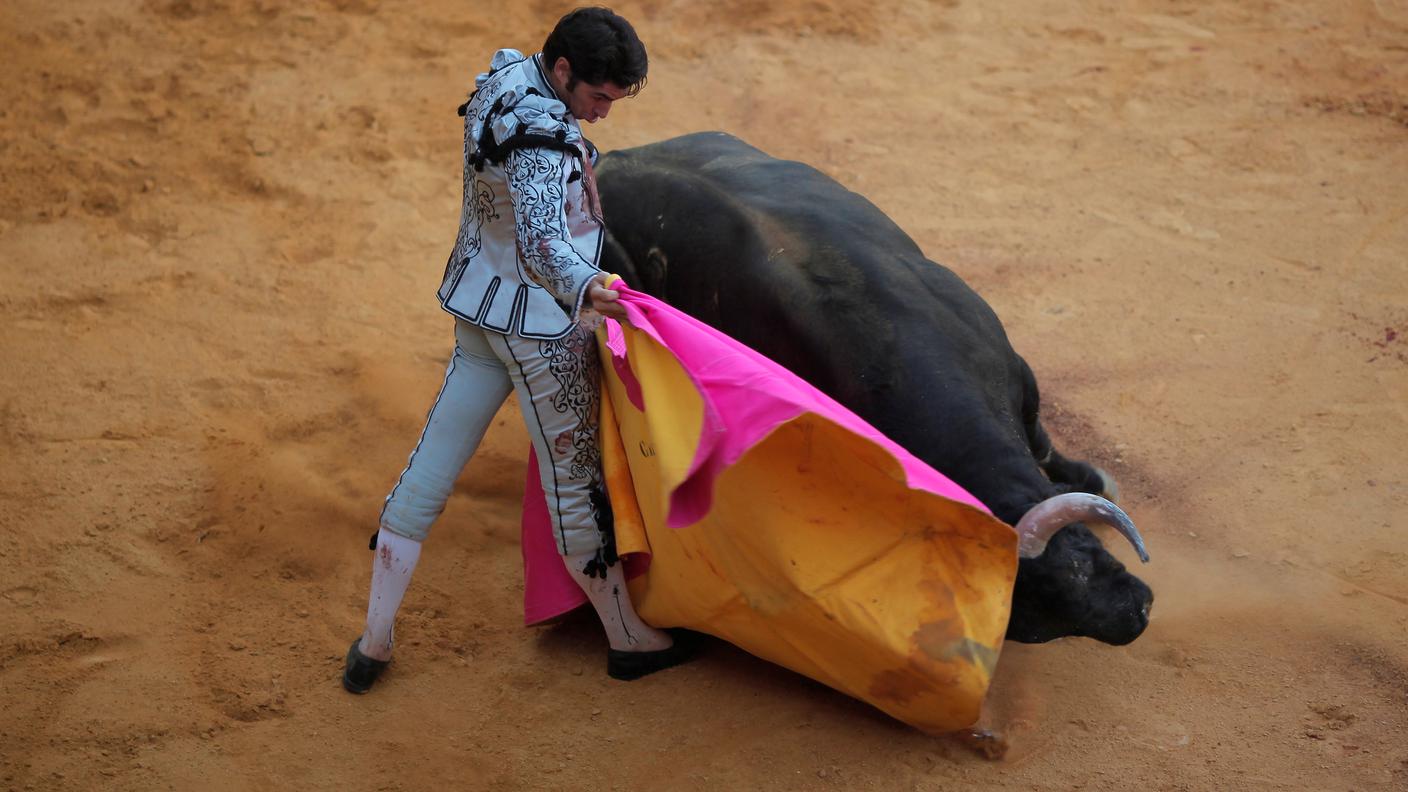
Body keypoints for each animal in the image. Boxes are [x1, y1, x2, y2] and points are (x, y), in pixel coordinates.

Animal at [594, 132, 1154, 645]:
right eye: (1045, 606)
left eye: (1085, 552)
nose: (1137, 613)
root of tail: (615, 158)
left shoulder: (1015, 372)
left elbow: (1044, 441)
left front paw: (1098, 478)